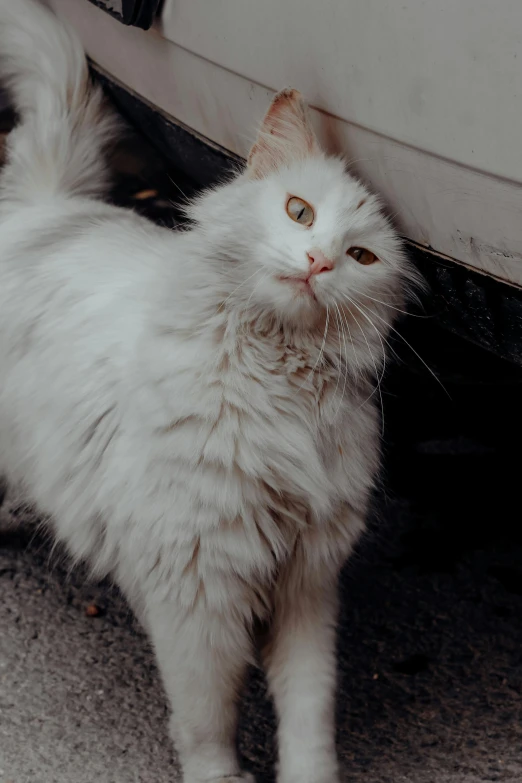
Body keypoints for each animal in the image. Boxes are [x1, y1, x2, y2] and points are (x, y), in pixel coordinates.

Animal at [0, 3, 414, 780]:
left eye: (361, 256)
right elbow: (206, 714)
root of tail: (46, 207)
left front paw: (309, 775)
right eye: (299, 212)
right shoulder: (195, 590)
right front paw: (219, 775)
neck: (277, 381)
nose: (317, 263)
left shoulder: (308, 581)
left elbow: (308, 708)